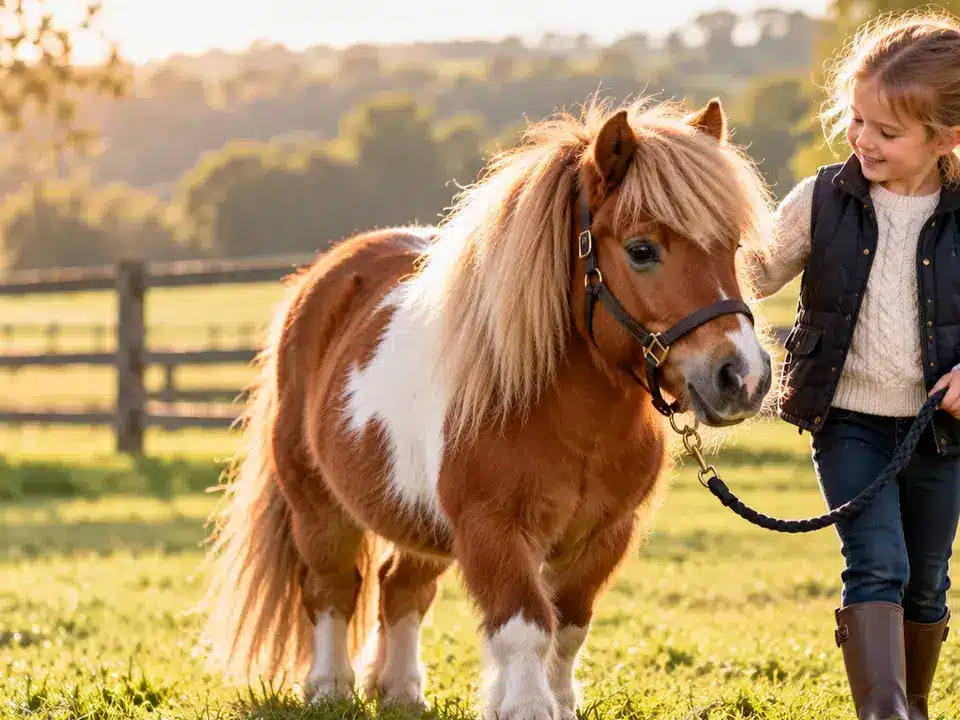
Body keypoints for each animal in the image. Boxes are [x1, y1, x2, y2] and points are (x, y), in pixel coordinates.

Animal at [199, 96, 775, 720]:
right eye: (642, 250)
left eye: (732, 248)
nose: (743, 376)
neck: (571, 421)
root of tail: (321, 282)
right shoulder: (493, 530)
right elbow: (525, 624)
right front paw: (526, 706)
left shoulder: (603, 536)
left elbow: (568, 626)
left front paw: (558, 703)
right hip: (318, 506)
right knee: (333, 588)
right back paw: (330, 688)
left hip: (417, 518)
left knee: (401, 588)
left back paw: (401, 691)